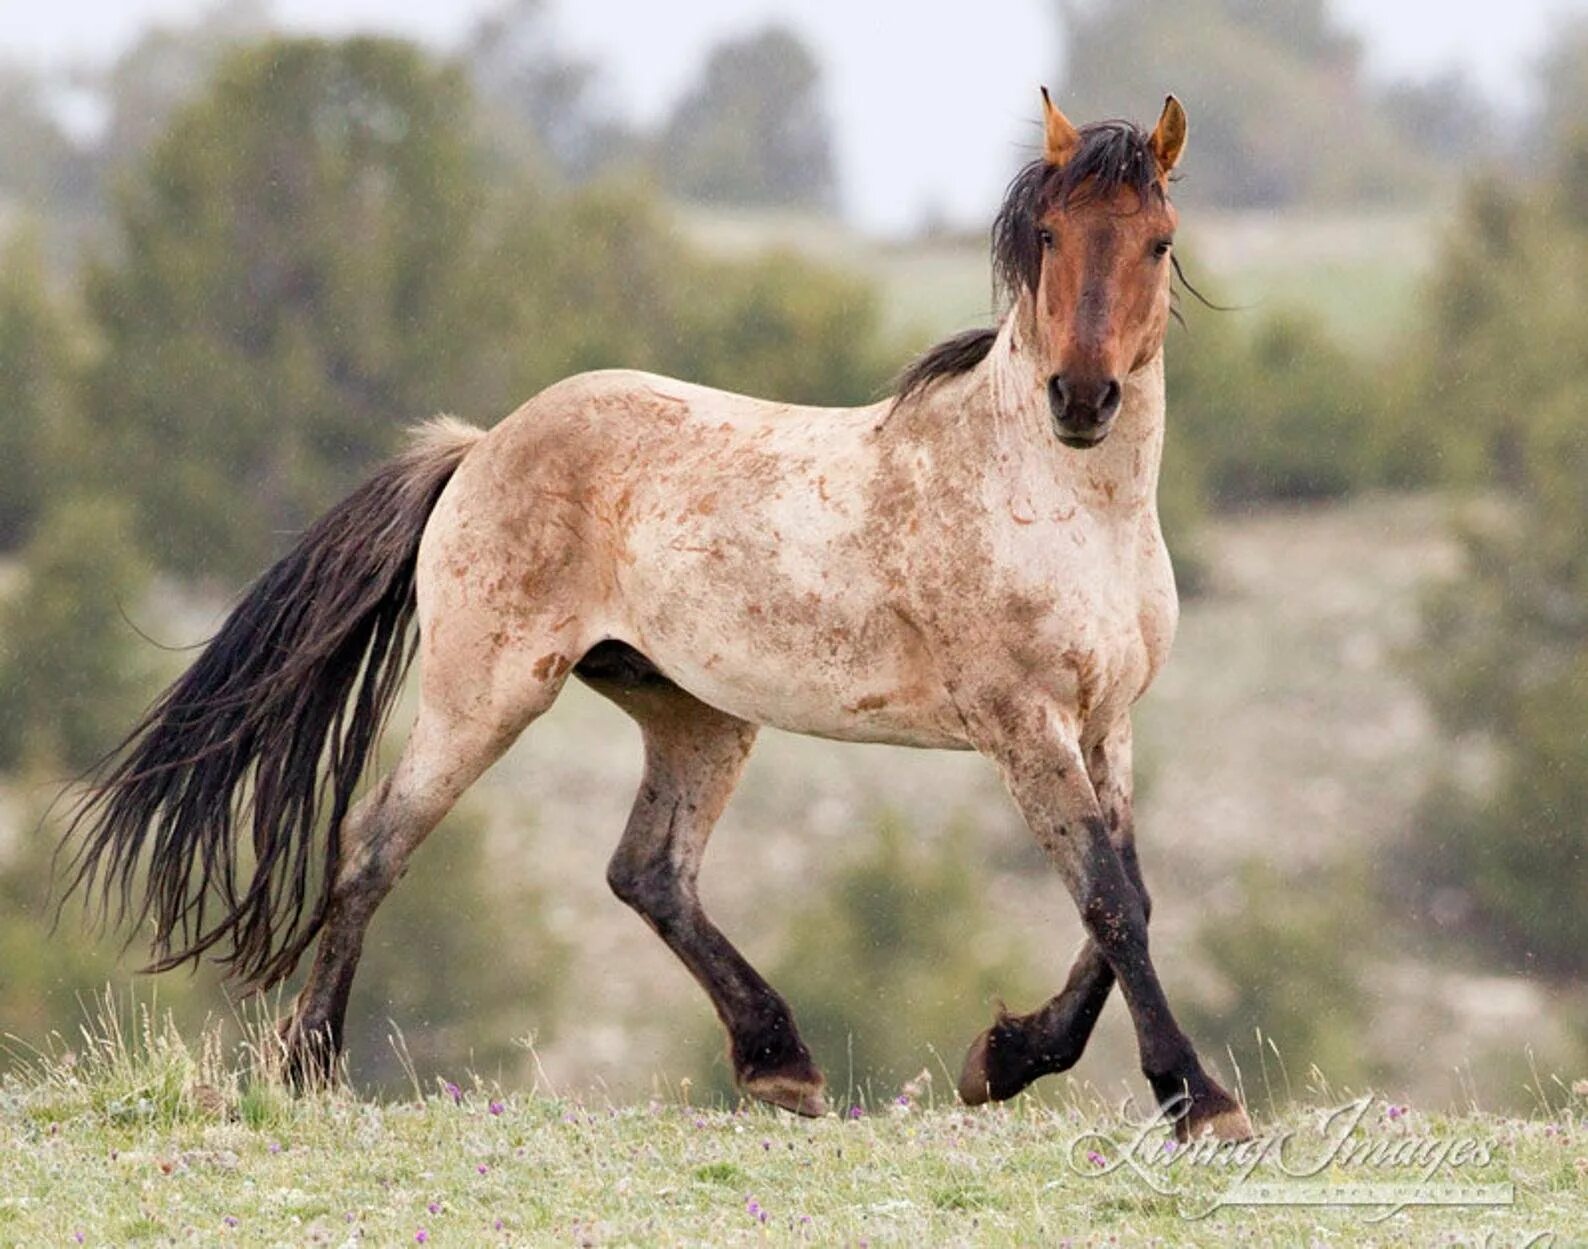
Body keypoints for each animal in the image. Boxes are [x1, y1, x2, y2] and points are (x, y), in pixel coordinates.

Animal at [61, 88, 1251, 1142]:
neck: (1056, 500)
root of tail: (479, 447)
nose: (1081, 400)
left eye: (1157, 242)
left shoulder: (1104, 722)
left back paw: (780, 1064)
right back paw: (310, 1067)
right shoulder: (1024, 726)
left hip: (694, 712)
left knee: (649, 871)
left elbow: (1126, 899)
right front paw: (1196, 1099)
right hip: (486, 692)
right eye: (1050, 234)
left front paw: (1006, 1059)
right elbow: (1110, 901)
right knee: (374, 842)